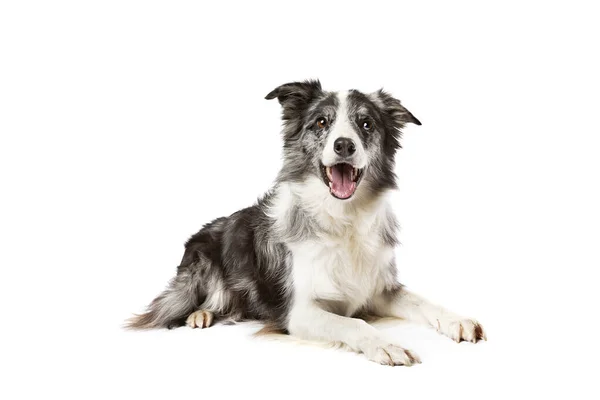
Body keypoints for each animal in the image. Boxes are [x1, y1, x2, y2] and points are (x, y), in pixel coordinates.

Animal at [127, 80, 488, 366]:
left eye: (366, 124)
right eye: (321, 122)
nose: (344, 145)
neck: (343, 219)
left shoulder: (378, 289)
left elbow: (422, 301)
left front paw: (457, 320)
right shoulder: (299, 312)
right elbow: (355, 324)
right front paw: (386, 345)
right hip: (203, 262)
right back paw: (199, 314)